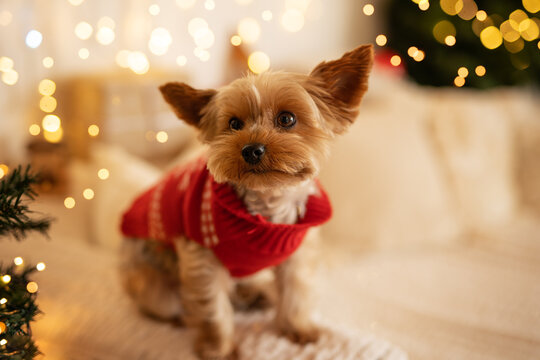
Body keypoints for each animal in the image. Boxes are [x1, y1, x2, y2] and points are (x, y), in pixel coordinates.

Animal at [120, 44, 374, 358]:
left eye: (287, 119)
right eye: (234, 124)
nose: (252, 149)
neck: (268, 203)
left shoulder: (296, 256)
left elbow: (296, 291)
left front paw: (297, 328)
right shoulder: (202, 260)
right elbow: (212, 308)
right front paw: (220, 349)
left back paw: (252, 295)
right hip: (154, 280)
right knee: (164, 302)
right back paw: (184, 316)